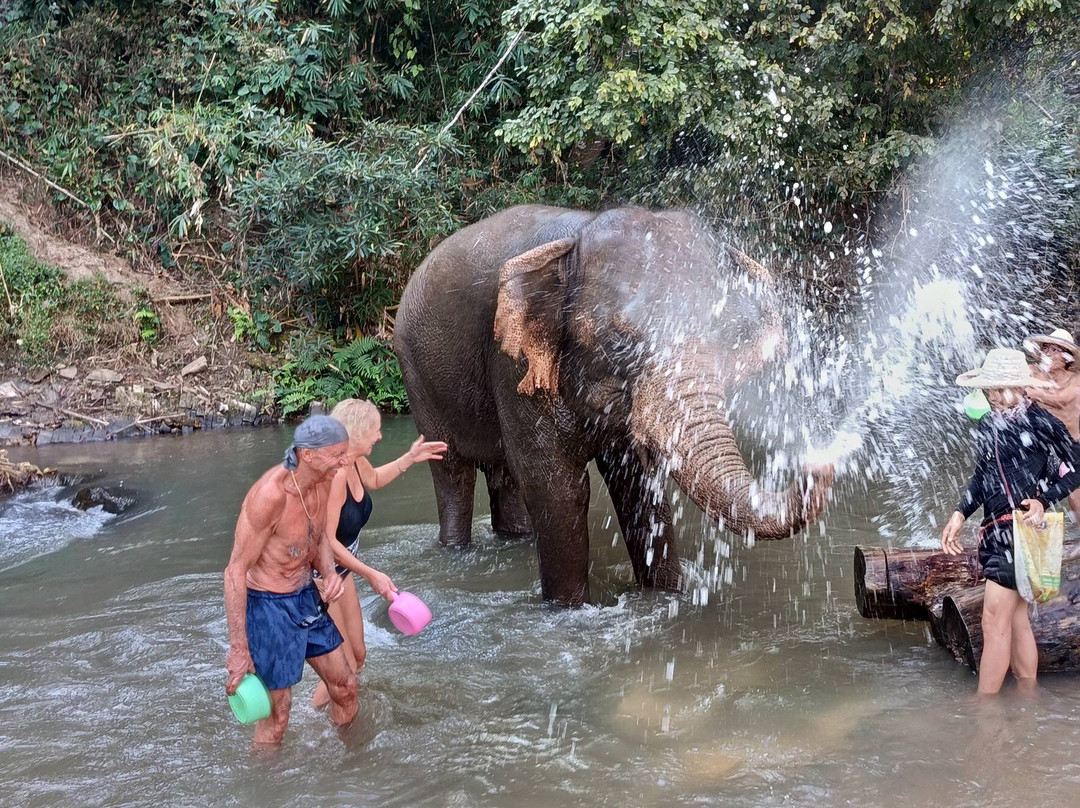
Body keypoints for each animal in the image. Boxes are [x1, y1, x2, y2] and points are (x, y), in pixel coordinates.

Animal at [393, 205, 833, 606]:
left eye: (726, 335)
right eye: (620, 342)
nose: (819, 457)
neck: (577, 236)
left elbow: (638, 484)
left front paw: (666, 595)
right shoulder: (513, 365)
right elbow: (556, 487)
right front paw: (568, 610)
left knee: (506, 476)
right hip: (416, 373)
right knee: (453, 472)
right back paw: (455, 549)